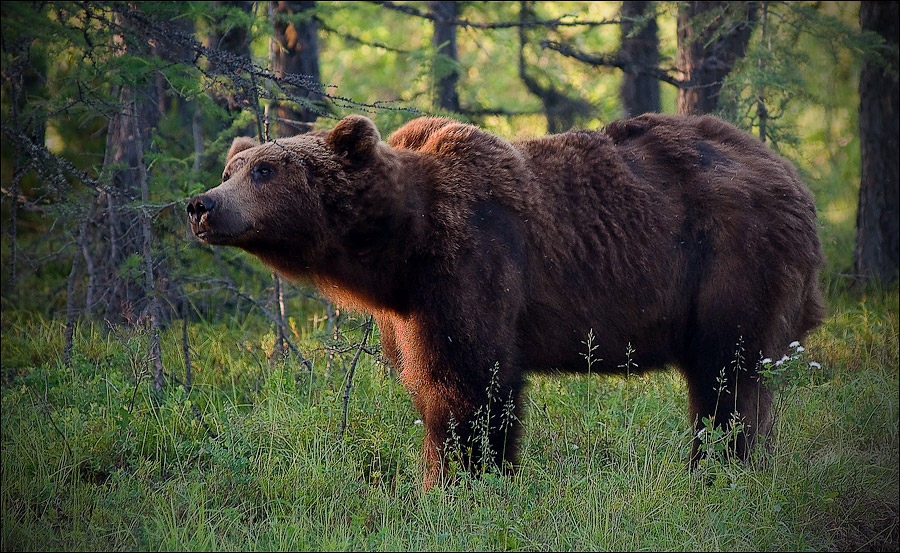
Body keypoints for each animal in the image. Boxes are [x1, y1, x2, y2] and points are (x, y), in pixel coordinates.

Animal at [188, 113, 824, 488]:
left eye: (265, 170)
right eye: (230, 168)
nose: (201, 205)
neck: (402, 246)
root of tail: (789, 173)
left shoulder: (475, 260)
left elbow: (470, 380)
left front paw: (463, 481)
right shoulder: (409, 307)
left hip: (729, 258)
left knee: (727, 372)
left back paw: (718, 467)